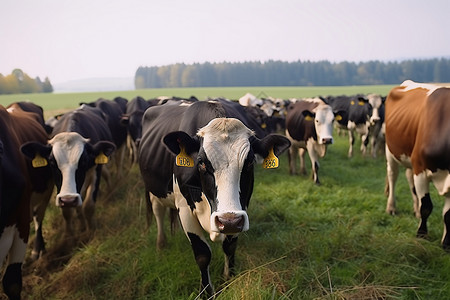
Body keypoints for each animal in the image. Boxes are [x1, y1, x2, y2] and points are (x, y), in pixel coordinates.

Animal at [21, 105, 116, 239]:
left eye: (84, 161)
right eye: (52, 162)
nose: (69, 200)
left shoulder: (96, 170)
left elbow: (88, 205)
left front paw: (90, 232)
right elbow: (67, 211)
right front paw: (69, 236)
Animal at [139, 99, 290, 296]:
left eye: (249, 162)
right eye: (201, 163)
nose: (228, 221)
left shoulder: (240, 211)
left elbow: (230, 247)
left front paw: (228, 279)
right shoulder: (185, 209)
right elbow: (202, 253)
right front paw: (206, 292)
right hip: (152, 189)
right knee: (158, 212)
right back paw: (161, 245)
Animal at [384, 79, 450, 248]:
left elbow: (448, 214)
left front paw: (446, 243)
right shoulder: (420, 168)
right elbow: (426, 206)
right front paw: (421, 235)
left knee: (409, 178)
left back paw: (415, 210)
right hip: (391, 151)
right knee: (393, 176)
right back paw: (391, 207)